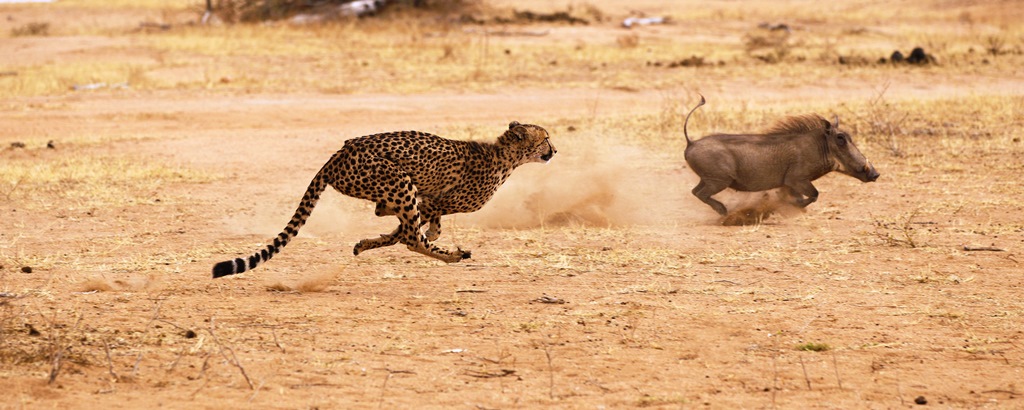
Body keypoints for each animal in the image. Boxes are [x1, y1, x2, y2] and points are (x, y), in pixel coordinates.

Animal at [210, 119, 557, 276]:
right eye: (546, 138)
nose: (555, 150)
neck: (504, 157)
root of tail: (339, 153)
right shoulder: (432, 201)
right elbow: (409, 231)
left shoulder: (428, 200)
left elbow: (414, 226)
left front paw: (369, 242)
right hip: (398, 179)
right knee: (412, 238)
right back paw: (452, 255)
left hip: (394, 185)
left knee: (389, 216)